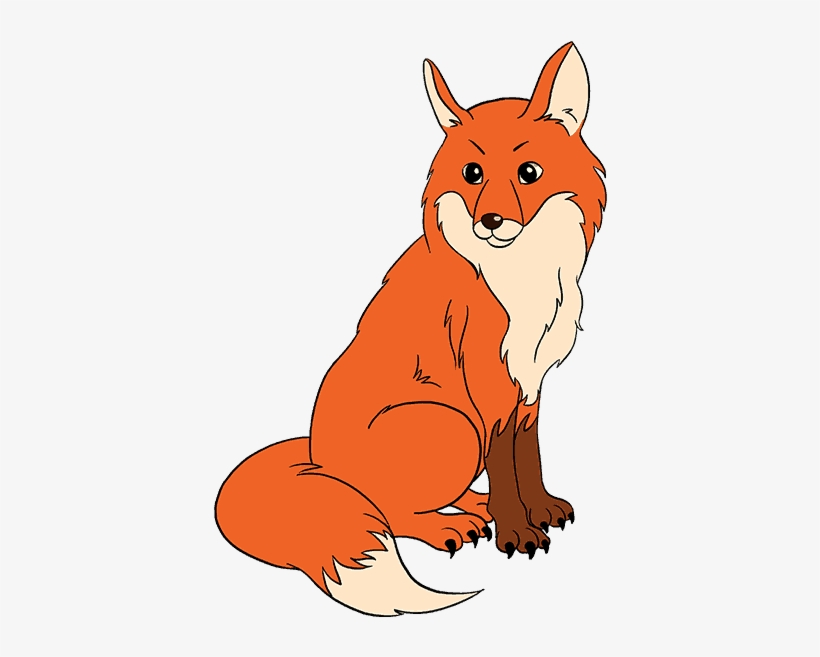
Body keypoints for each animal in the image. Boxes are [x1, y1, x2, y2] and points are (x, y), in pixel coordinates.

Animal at [215, 42, 606, 616]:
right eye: (472, 173)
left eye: (529, 172)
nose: (490, 221)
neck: (522, 277)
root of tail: (317, 459)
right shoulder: (489, 389)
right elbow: (506, 466)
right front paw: (518, 532)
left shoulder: (531, 383)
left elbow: (527, 456)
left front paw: (539, 508)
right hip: (451, 423)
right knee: (387, 511)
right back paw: (451, 526)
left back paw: (473, 506)